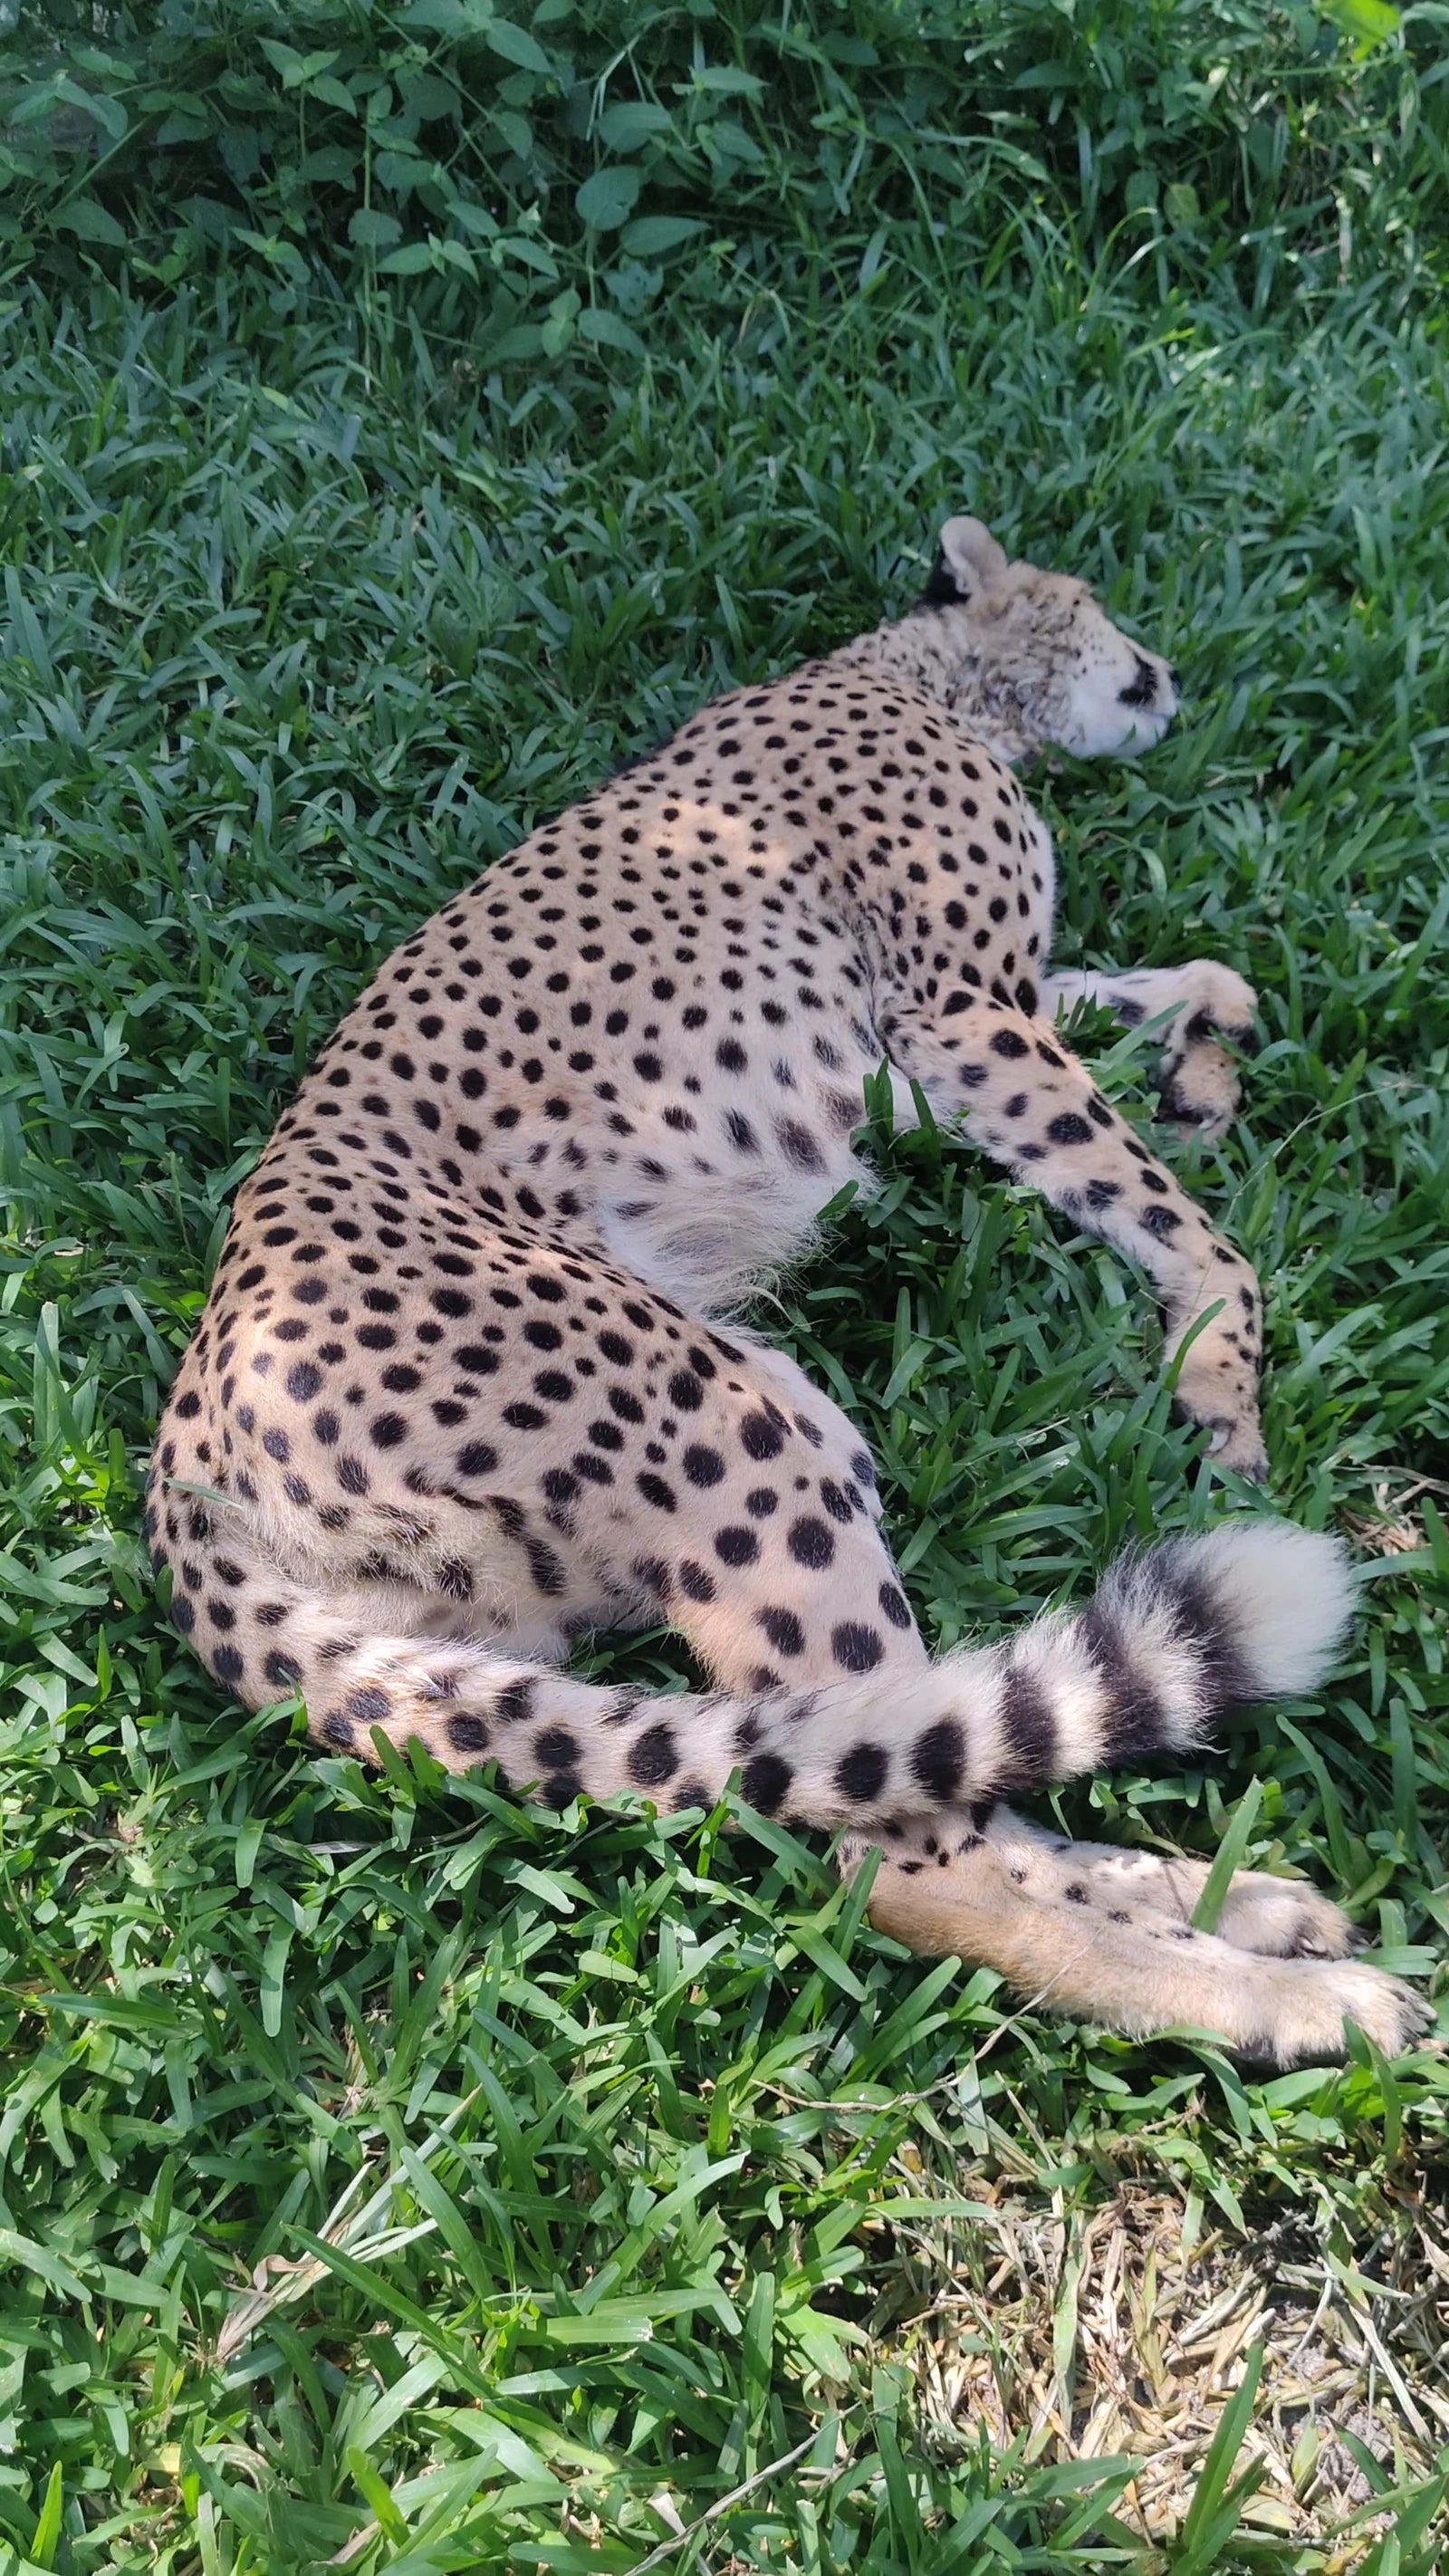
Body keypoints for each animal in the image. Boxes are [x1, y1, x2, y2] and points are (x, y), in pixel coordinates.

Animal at [147, 511, 1431, 2069]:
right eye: (1093, 605)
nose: (1165, 672)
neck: (925, 676)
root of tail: (185, 1454)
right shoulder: (958, 1017)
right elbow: (1169, 1209)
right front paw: (1221, 1386)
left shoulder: (979, 1010)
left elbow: (1154, 987)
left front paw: (1208, 1042)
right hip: (725, 1424)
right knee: (910, 1864)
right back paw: (1294, 2000)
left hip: (765, 1429)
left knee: (901, 1758)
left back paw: (1237, 1900)